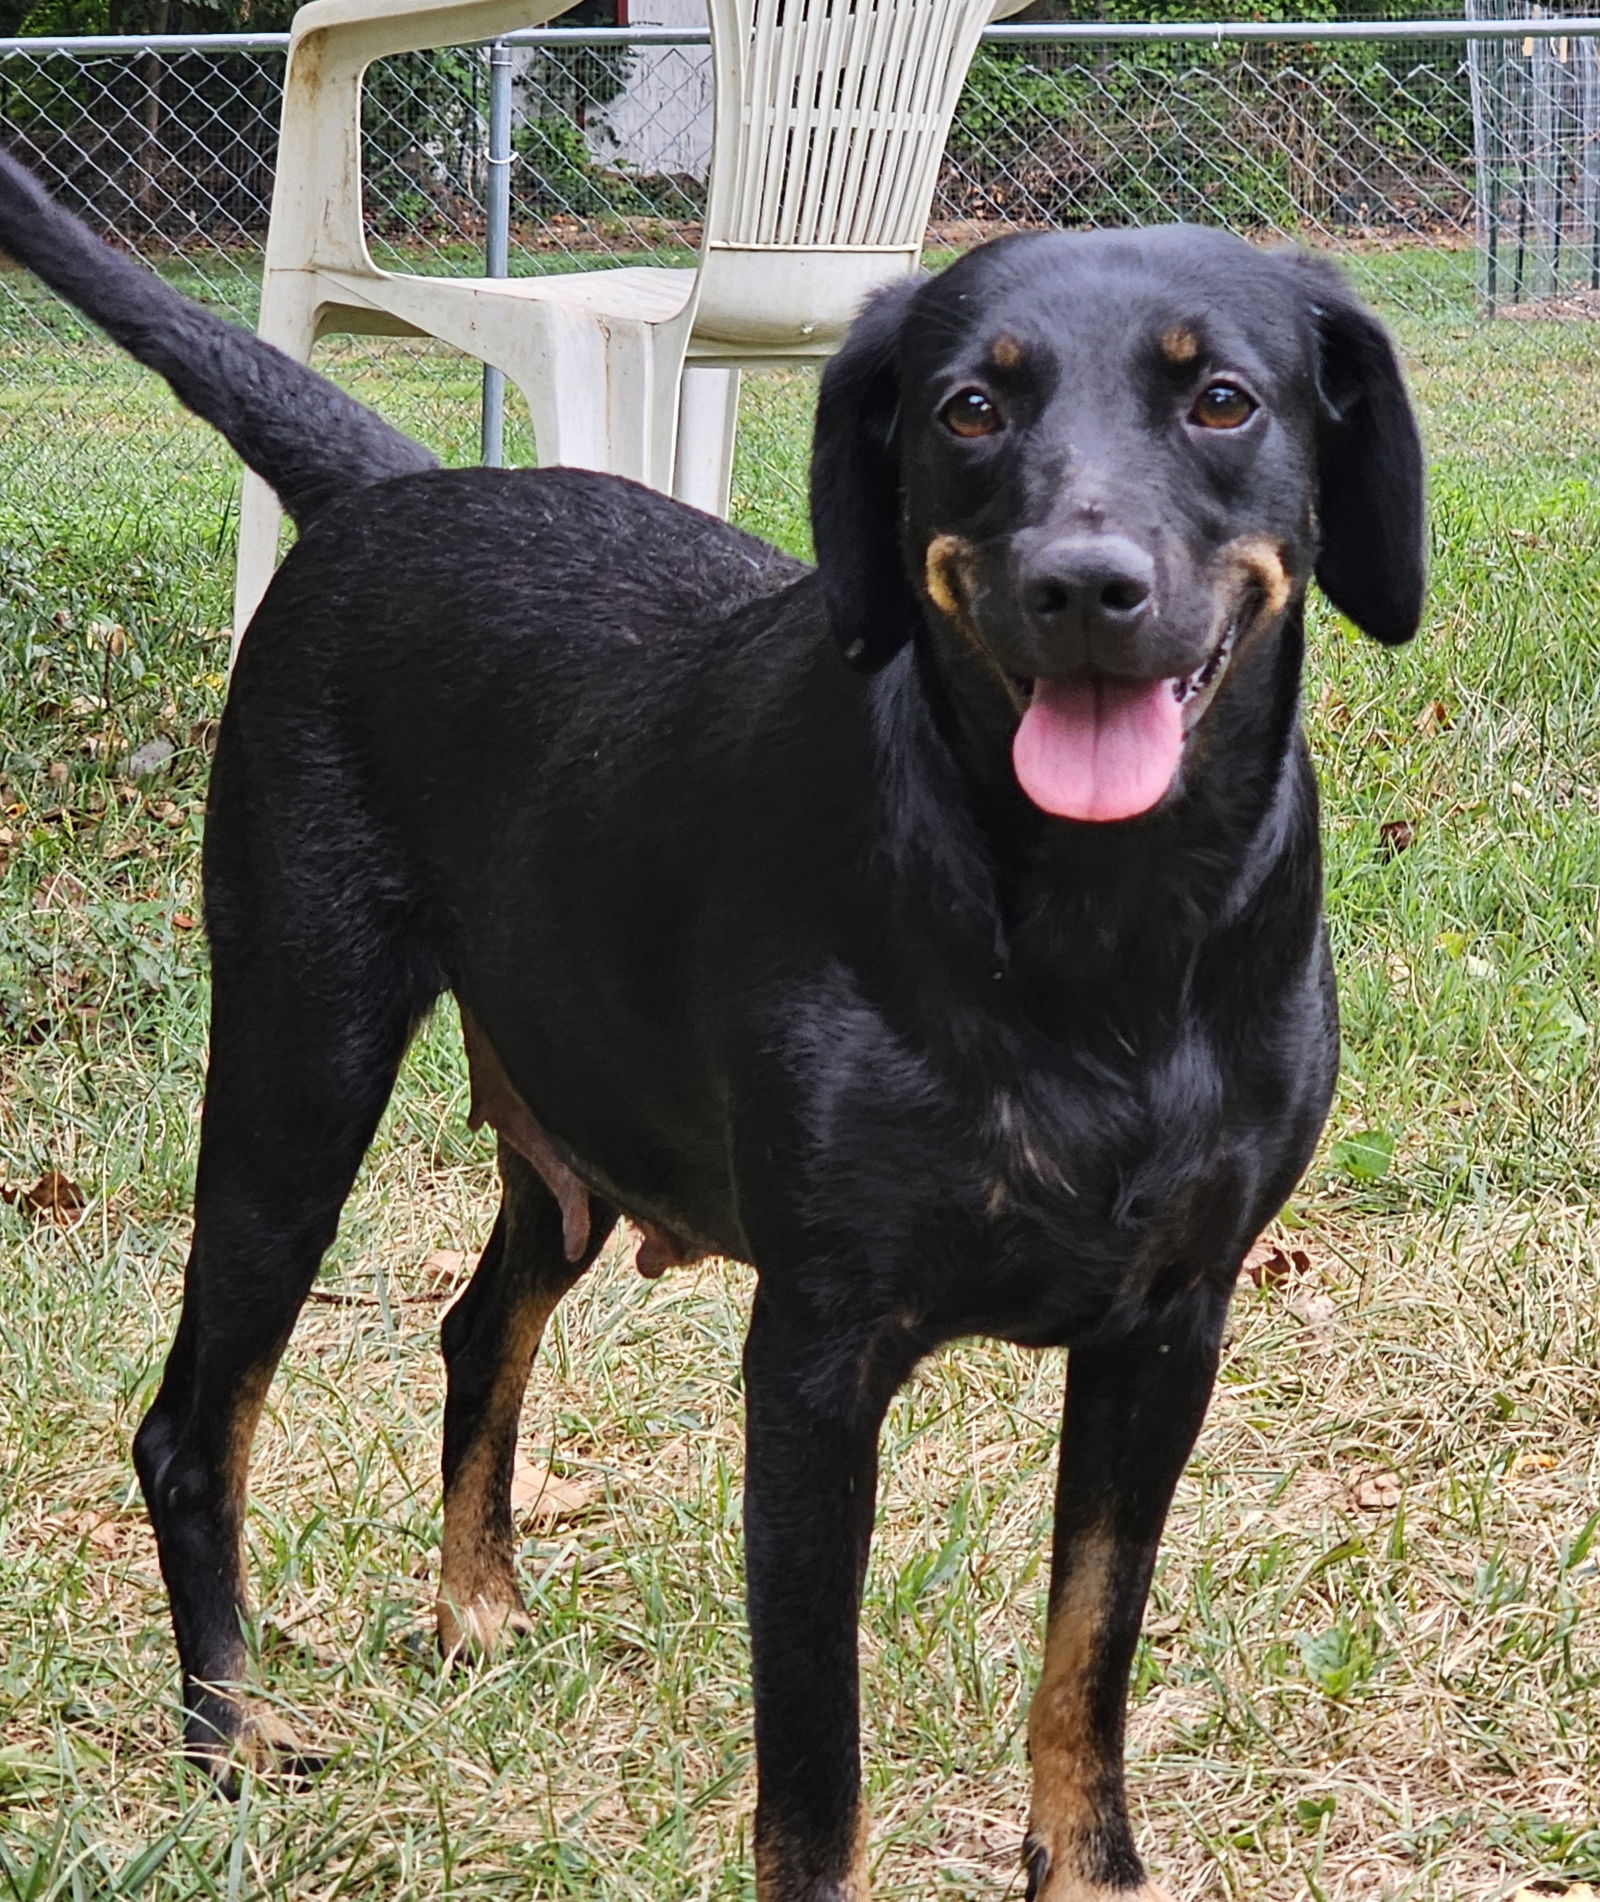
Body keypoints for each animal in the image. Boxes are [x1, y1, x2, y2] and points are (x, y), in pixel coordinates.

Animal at [0, 152, 1423, 1902]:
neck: (1095, 952)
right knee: (193, 1424)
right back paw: (229, 1727)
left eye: (1224, 397)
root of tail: (396, 485)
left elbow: (1090, 1651)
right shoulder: (813, 1360)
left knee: (476, 1327)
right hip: (294, 1073)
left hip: (569, 1132)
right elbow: (814, 1768)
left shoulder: (1171, 1327)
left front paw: (1089, 1865)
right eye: (967, 408)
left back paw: (474, 1604)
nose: (1086, 588)